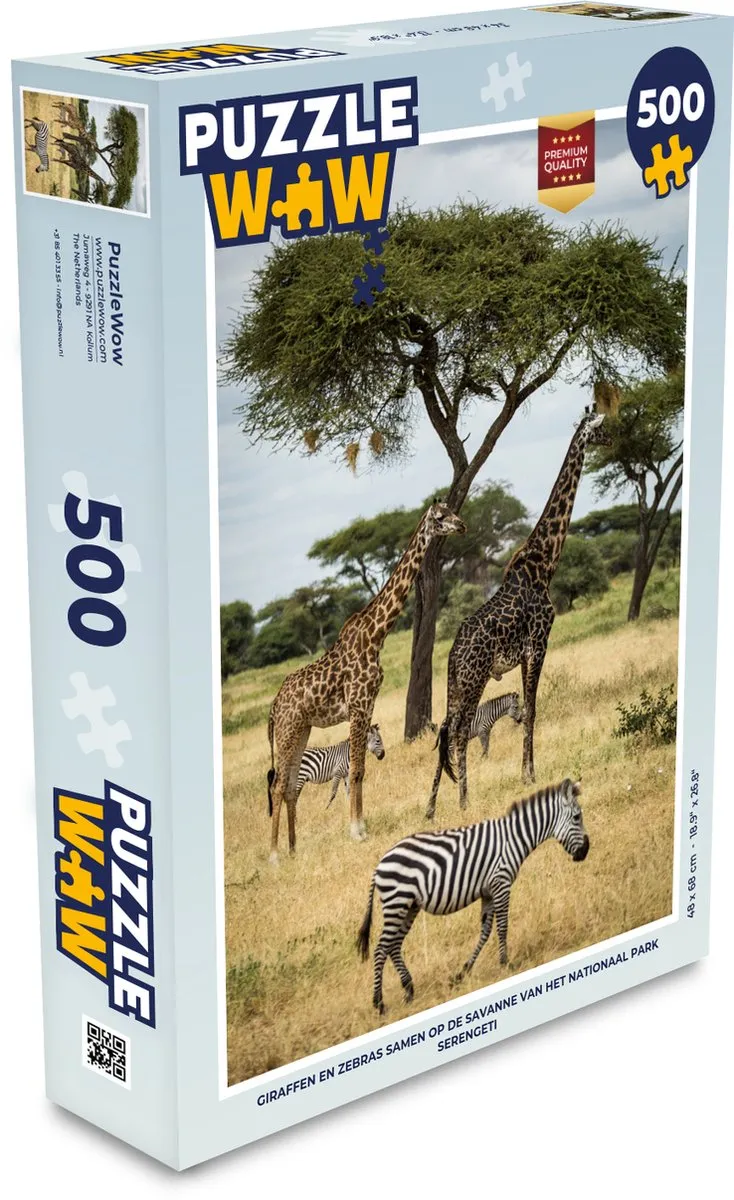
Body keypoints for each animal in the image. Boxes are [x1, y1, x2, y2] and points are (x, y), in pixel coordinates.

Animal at [357, 778, 589, 1014]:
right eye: (577, 817)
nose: (585, 852)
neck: (514, 839)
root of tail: (379, 865)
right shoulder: (501, 883)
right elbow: (502, 926)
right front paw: (506, 963)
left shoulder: (488, 892)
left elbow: (485, 931)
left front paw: (463, 972)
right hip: (397, 902)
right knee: (381, 948)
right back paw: (379, 1003)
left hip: (409, 905)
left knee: (394, 945)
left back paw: (409, 989)